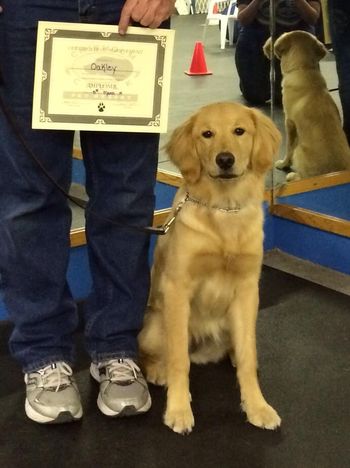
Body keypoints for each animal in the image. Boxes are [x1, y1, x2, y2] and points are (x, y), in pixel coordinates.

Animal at [137, 102, 282, 436]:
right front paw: (178, 409)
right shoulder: (178, 288)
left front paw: (257, 406)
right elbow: (179, 359)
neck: (224, 208)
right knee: (154, 353)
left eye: (239, 131)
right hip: (155, 326)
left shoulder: (247, 289)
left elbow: (248, 356)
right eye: (207, 134)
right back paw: (158, 371)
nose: (225, 160)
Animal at [264, 29, 350, 181]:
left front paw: (283, 164)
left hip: (300, 150)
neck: (303, 69)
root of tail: (333, 174)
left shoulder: (289, 123)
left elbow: (289, 147)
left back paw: (292, 175)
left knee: (304, 177)